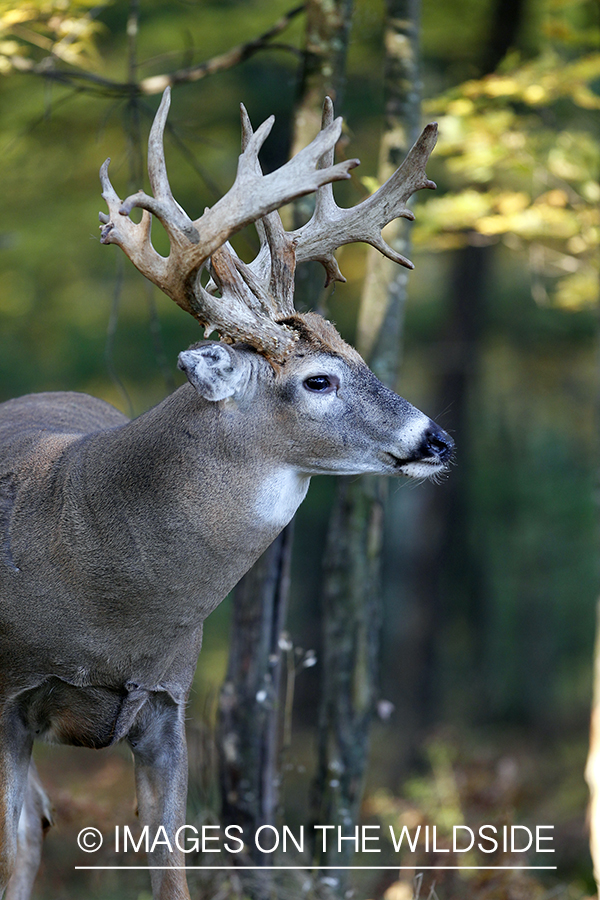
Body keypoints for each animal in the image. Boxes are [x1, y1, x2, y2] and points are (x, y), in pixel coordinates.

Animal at [0, 86, 450, 900]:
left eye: (359, 354)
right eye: (318, 380)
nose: (438, 440)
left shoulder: (168, 702)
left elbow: (172, 864)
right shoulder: (7, 694)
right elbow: (14, 848)